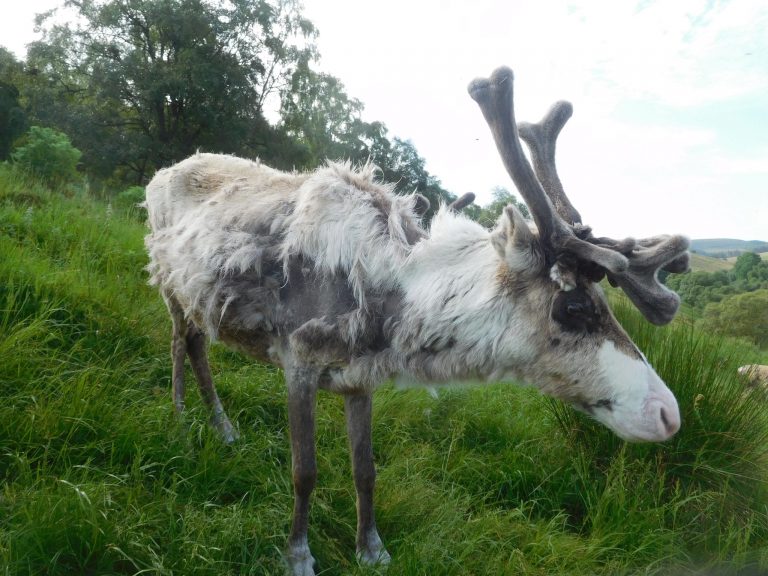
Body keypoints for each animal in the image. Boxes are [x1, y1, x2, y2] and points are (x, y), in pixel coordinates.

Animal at [143, 66, 689, 575]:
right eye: (573, 307)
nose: (668, 414)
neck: (387, 308)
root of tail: (159, 173)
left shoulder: (357, 377)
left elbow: (365, 470)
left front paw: (372, 548)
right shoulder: (298, 360)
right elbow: (305, 470)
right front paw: (297, 554)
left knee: (195, 341)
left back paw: (222, 427)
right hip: (169, 283)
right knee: (179, 340)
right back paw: (184, 415)